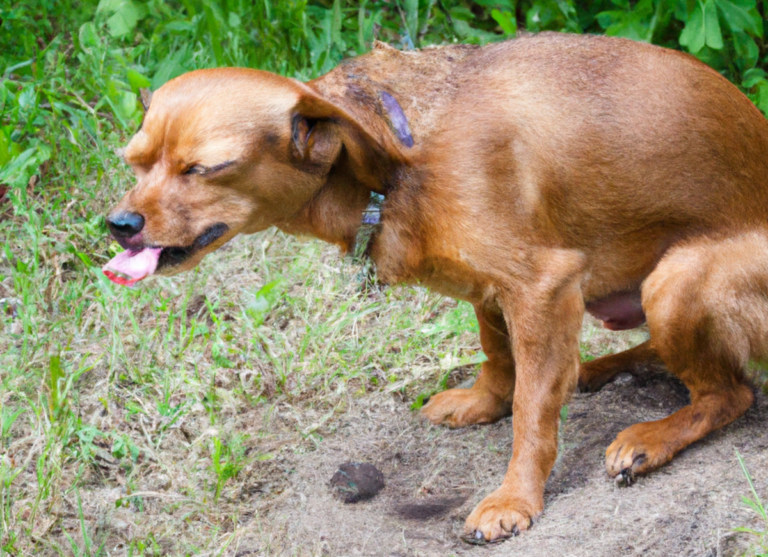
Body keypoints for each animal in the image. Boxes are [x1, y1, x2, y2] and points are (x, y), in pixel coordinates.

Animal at [105, 32, 768, 540]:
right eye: (133, 162)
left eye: (204, 169)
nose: (119, 224)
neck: (397, 155)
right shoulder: (490, 290)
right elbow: (501, 358)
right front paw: (485, 402)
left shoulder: (541, 286)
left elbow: (533, 411)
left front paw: (515, 500)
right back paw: (599, 369)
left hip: (674, 284)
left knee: (730, 393)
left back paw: (651, 438)